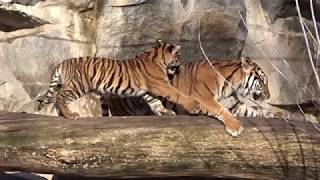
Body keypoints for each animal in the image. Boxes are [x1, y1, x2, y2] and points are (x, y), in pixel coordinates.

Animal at [101, 56, 286, 120]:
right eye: (262, 80)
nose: (269, 96)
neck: (232, 85)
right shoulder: (204, 101)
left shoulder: (234, 105)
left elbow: (253, 110)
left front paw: (280, 114)